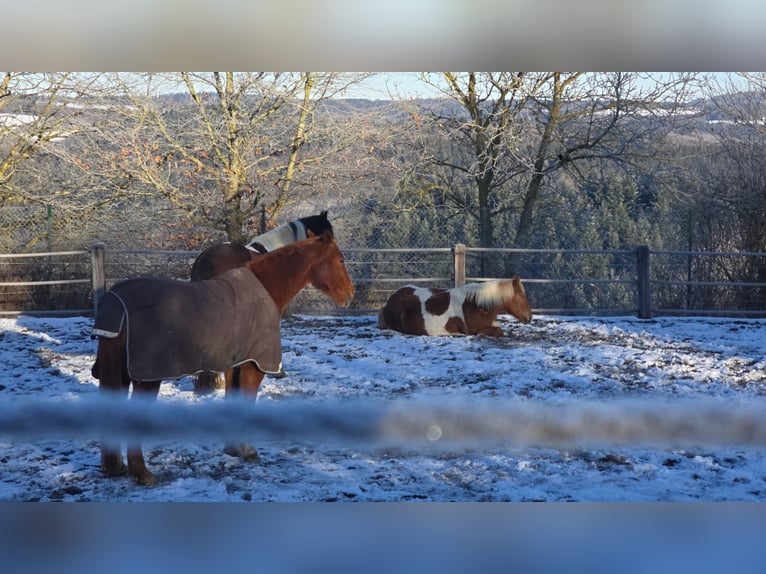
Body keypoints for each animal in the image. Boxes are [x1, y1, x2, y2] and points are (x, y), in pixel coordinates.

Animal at [91, 230, 354, 485]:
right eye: (340, 260)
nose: (350, 295)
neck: (265, 288)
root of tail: (116, 300)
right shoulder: (253, 367)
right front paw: (247, 449)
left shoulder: (234, 365)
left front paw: (233, 449)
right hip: (147, 378)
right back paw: (143, 473)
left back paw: (117, 468)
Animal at [377, 276, 532, 337]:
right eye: (521, 296)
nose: (529, 317)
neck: (474, 305)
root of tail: (390, 300)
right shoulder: (472, 331)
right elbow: (499, 331)